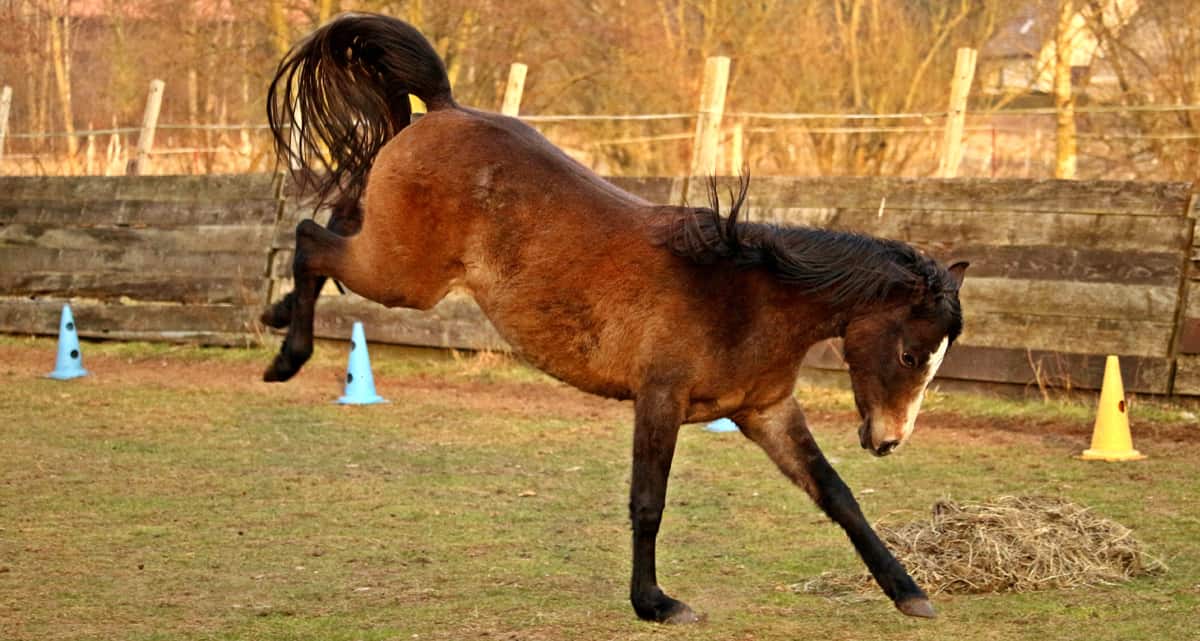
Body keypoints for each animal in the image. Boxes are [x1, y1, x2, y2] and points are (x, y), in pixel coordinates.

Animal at [262, 13, 967, 624]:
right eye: (910, 354)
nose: (889, 441)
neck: (749, 296)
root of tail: (443, 108)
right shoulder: (660, 399)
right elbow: (648, 502)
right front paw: (655, 603)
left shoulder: (766, 412)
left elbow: (837, 495)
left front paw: (910, 592)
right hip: (405, 278)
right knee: (309, 237)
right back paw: (286, 358)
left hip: (396, 258)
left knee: (334, 220)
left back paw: (276, 315)